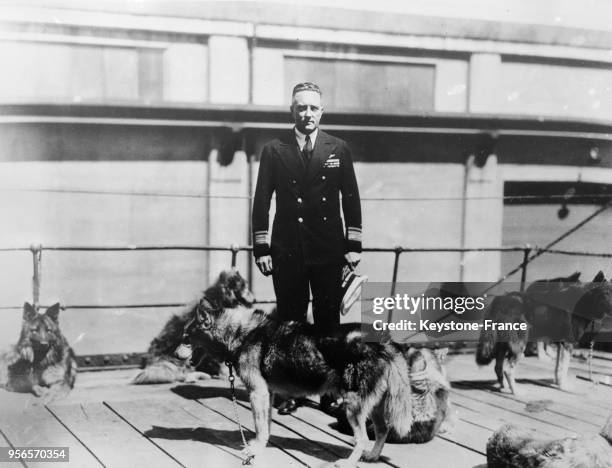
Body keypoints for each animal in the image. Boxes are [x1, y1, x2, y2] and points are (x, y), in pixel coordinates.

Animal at [184, 300, 416, 464]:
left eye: (186, 337)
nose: (176, 354)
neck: (242, 333)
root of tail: (384, 342)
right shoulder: (267, 394)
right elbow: (265, 426)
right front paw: (262, 445)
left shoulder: (257, 392)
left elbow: (259, 426)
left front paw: (254, 450)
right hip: (374, 406)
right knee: (383, 430)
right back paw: (373, 456)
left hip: (353, 407)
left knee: (362, 439)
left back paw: (348, 463)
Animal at [478, 272, 612, 394]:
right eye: (606, 294)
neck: (585, 300)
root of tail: (499, 300)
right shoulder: (567, 344)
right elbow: (564, 368)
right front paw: (563, 387)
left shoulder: (561, 344)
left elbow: (558, 368)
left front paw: (558, 383)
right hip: (519, 344)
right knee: (508, 370)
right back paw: (516, 391)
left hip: (504, 344)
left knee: (498, 367)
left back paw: (504, 387)